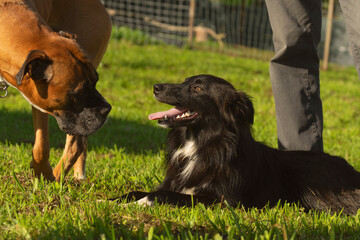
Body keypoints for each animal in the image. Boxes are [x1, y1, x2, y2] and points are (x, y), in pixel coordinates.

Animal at [0, 0, 112, 180]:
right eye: (79, 93)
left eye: (95, 82)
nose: (107, 109)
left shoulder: (39, 100)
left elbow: (42, 144)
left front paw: (44, 174)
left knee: (76, 144)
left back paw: (57, 178)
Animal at [114, 74, 360, 215]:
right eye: (184, 82)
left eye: (197, 89)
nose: (155, 87)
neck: (200, 142)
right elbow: (137, 191)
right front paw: (113, 200)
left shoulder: (223, 201)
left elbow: (162, 195)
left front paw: (138, 203)